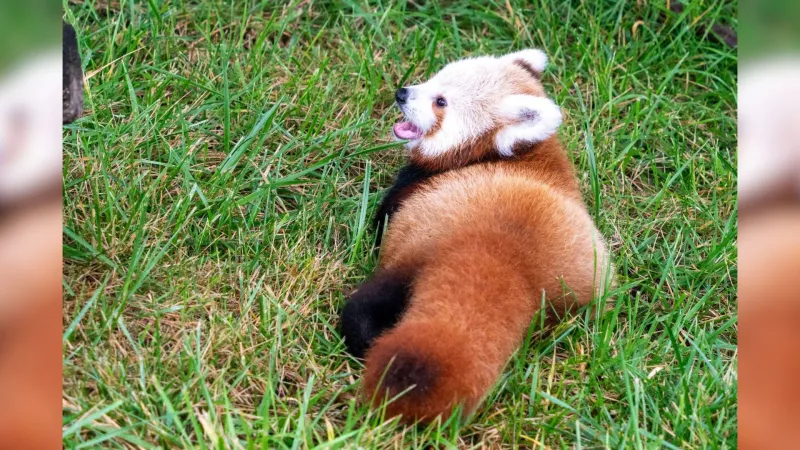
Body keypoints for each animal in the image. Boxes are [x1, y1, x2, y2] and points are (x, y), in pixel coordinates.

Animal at [340, 49, 614, 423]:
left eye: (440, 101)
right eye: (434, 78)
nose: (402, 93)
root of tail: (499, 251)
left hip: (417, 245)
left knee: (367, 305)